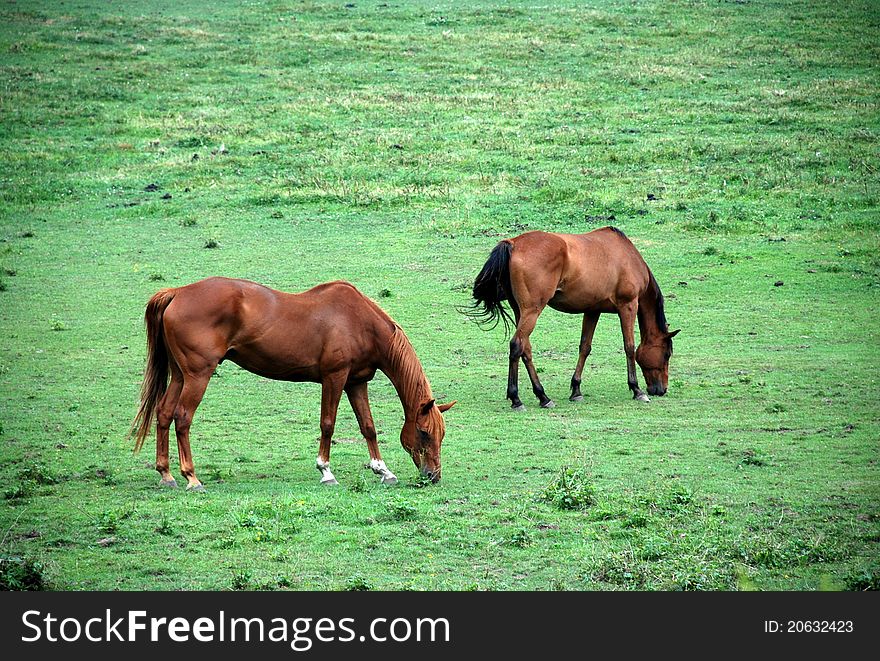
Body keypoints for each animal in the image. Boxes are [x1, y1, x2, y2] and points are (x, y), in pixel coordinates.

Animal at [136, 276, 460, 488]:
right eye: (424, 433)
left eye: (441, 435)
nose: (433, 476)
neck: (360, 322)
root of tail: (177, 293)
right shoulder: (334, 378)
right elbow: (327, 424)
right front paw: (326, 471)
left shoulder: (356, 382)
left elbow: (368, 427)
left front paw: (383, 471)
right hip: (197, 375)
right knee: (182, 417)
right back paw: (191, 477)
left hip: (180, 375)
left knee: (164, 414)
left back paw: (166, 474)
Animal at [468, 229, 680, 410]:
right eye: (666, 354)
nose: (661, 390)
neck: (627, 256)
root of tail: (513, 243)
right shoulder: (628, 305)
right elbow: (629, 347)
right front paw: (636, 389)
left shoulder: (593, 310)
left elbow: (585, 347)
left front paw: (576, 390)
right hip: (532, 310)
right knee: (517, 345)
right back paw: (516, 399)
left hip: (521, 311)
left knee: (525, 349)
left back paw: (543, 396)